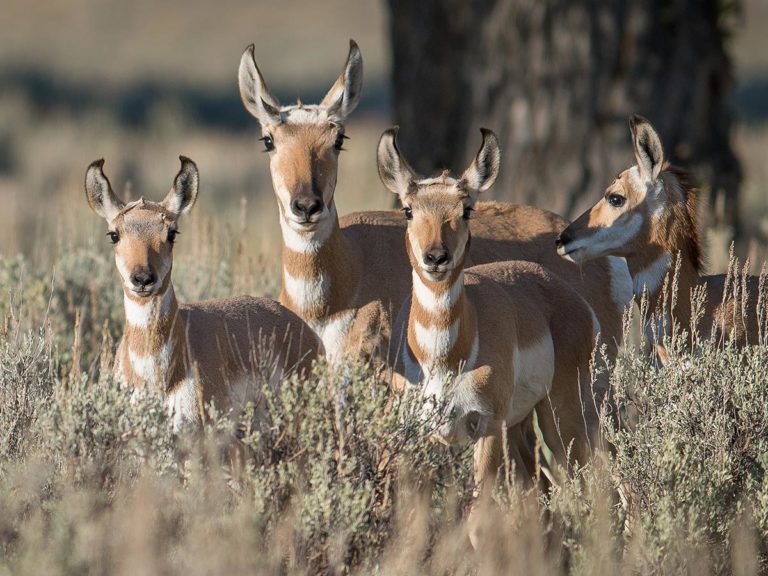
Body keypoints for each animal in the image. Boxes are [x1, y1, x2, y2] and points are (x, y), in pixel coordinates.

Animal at [380, 126, 604, 504]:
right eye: (408, 210)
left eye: (467, 209)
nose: (436, 257)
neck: (443, 358)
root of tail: (566, 294)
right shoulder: (415, 434)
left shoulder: (487, 428)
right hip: (524, 428)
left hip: (562, 417)